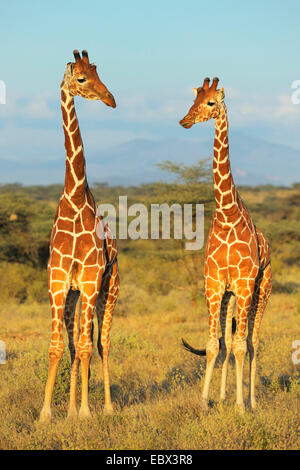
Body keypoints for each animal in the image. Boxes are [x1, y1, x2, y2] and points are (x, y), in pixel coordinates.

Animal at [180, 77, 272, 412]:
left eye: (210, 103)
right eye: (193, 101)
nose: (185, 120)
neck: (227, 215)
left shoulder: (245, 285)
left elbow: (244, 346)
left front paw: (241, 407)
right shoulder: (215, 284)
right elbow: (213, 344)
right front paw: (205, 401)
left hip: (261, 291)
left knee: (252, 342)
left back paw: (252, 400)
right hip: (231, 297)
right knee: (230, 341)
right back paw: (223, 395)